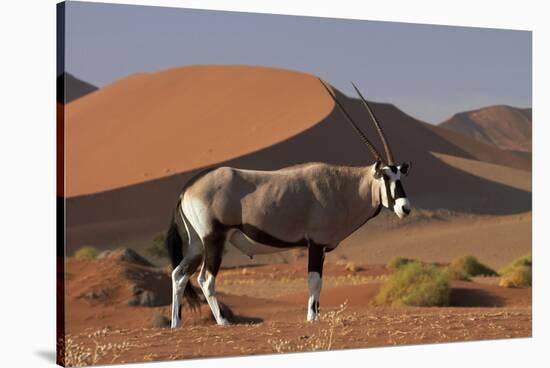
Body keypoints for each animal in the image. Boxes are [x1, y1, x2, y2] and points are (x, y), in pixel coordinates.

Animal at [168, 79, 414, 326]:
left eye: (400, 176)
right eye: (385, 177)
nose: (405, 208)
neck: (344, 186)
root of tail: (188, 188)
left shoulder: (321, 247)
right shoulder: (316, 242)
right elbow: (314, 281)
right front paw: (312, 318)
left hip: (197, 243)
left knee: (179, 274)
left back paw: (176, 324)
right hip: (214, 239)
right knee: (206, 279)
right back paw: (223, 322)